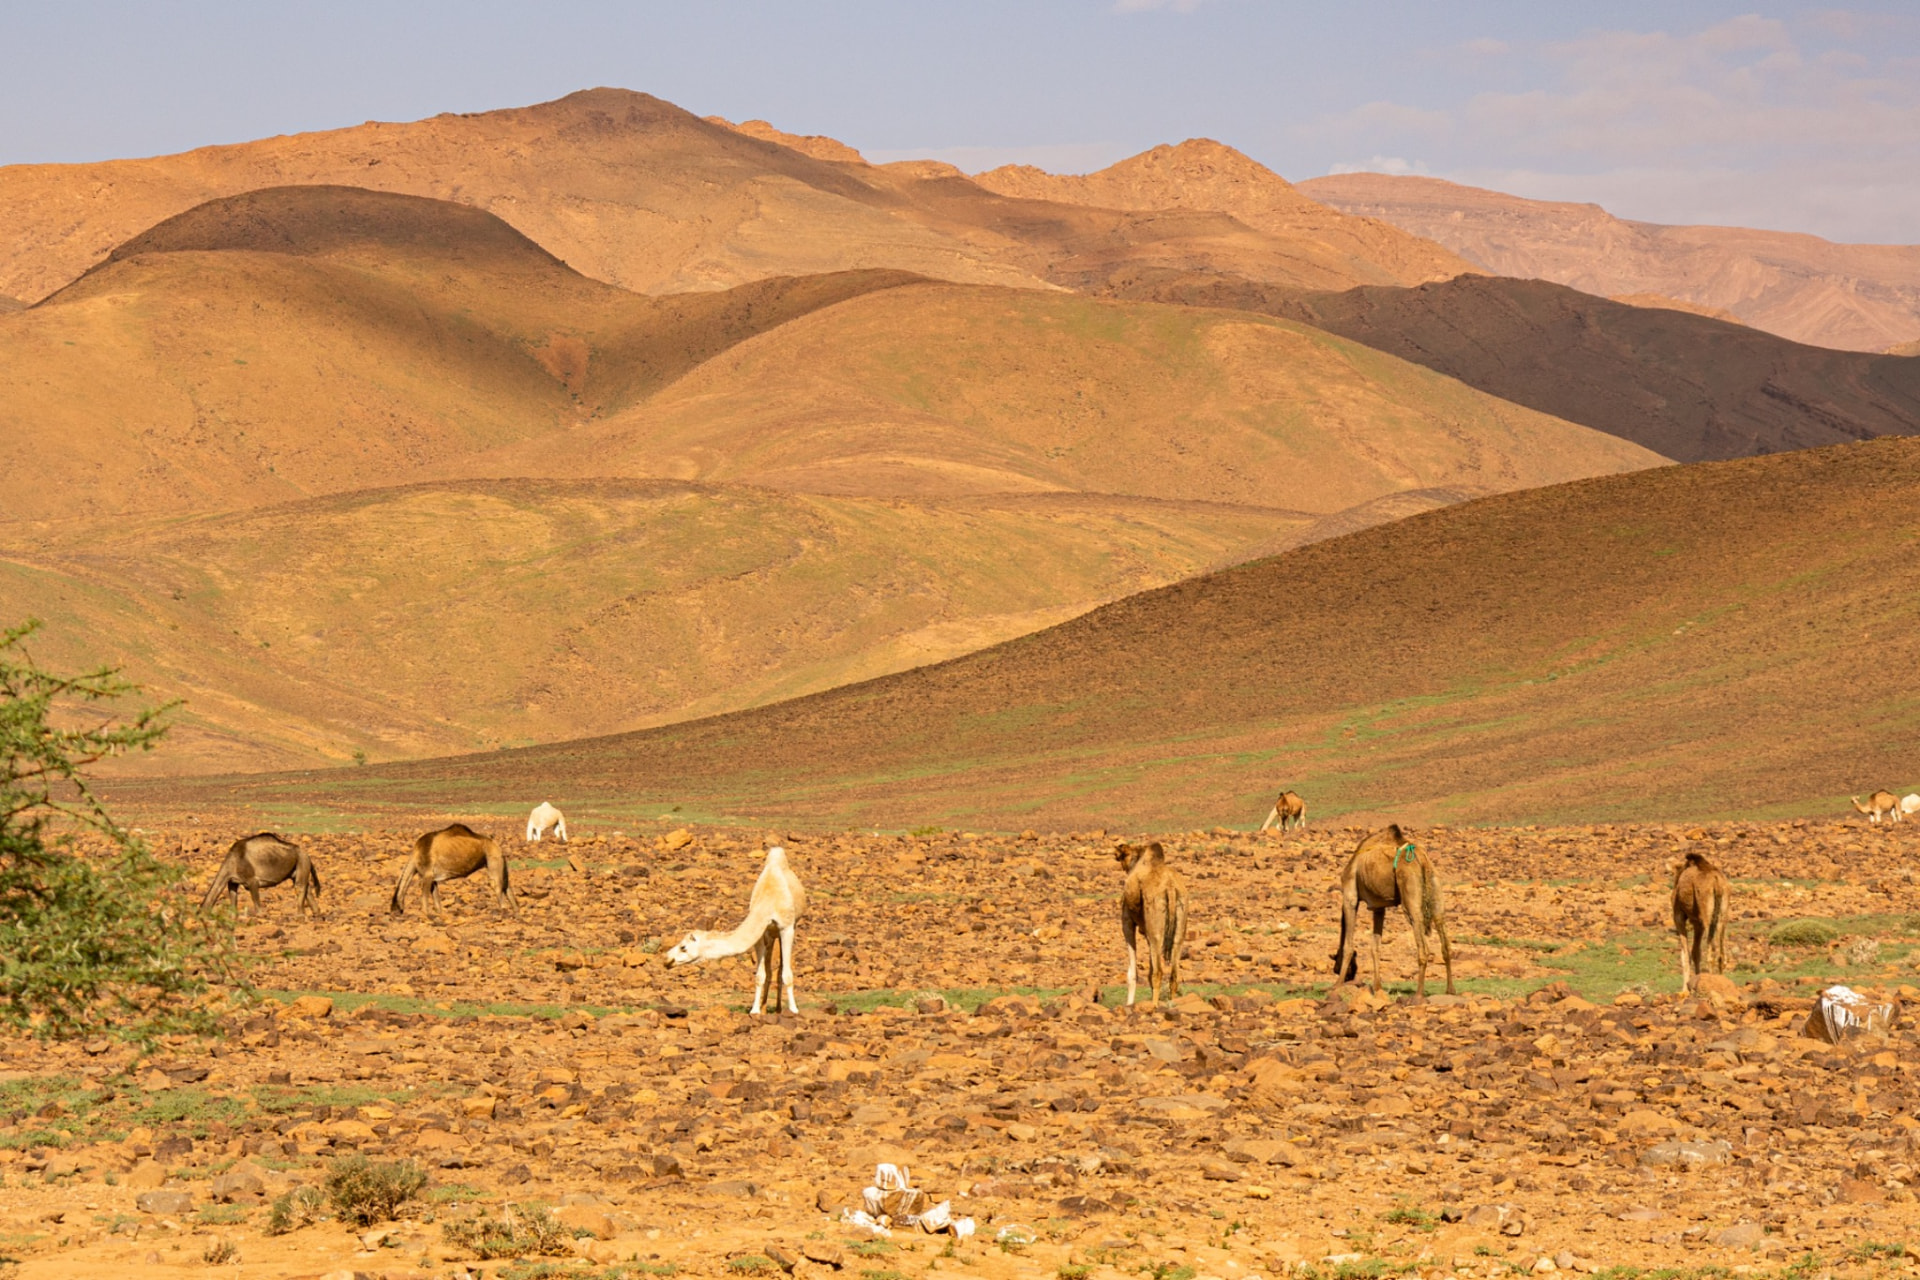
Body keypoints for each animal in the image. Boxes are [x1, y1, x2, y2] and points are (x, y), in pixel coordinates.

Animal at [664, 846, 806, 1015]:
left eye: (683, 947)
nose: (667, 960)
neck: (769, 900)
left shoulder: (786, 927)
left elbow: (787, 975)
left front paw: (794, 1010)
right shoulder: (760, 933)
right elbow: (760, 975)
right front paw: (755, 1011)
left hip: (787, 928)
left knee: (781, 970)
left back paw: (779, 1009)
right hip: (771, 934)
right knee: (770, 969)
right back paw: (765, 1007)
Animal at [1115, 841, 1188, 1006]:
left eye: (1121, 855)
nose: (1116, 856)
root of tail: (1171, 888)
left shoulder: (1127, 921)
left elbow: (1132, 973)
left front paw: (1129, 1004)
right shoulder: (1146, 930)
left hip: (1156, 927)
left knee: (1158, 971)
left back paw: (1154, 1005)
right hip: (1180, 925)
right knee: (1174, 973)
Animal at [1331, 824, 1455, 999]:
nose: (1336, 970)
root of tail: (1422, 860)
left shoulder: (1349, 896)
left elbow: (1348, 945)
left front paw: (1337, 984)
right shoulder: (1378, 906)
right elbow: (1375, 946)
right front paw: (1377, 987)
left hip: (1408, 889)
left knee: (1422, 941)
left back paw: (1418, 994)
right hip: (1435, 885)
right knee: (1444, 936)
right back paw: (1450, 990)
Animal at [1671, 849, 1730, 993]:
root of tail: (1716, 882)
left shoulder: (1679, 916)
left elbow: (1685, 955)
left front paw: (1685, 989)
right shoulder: (1697, 923)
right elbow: (1696, 952)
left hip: (1706, 914)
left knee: (1711, 948)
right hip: (1723, 913)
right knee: (1721, 952)